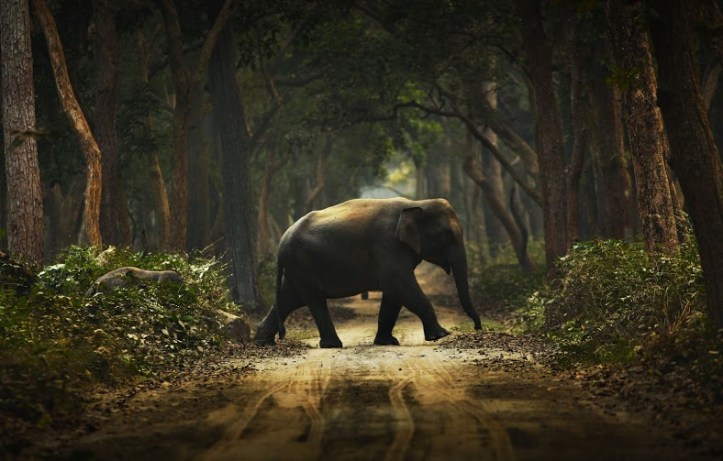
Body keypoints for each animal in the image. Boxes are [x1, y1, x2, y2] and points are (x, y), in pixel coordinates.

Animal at [254, 197, 482, 348]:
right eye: (446, 235)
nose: (477, 327)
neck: (417, 203)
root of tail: (281, 245)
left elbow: (394, 293)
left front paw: (387, 342)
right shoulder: (388, 246)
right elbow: (398, 284)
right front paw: (441, 335)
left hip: (297, 267)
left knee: (290, 298)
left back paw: (262, 342)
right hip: (301, 264)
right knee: (313, 299)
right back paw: (333, 345)